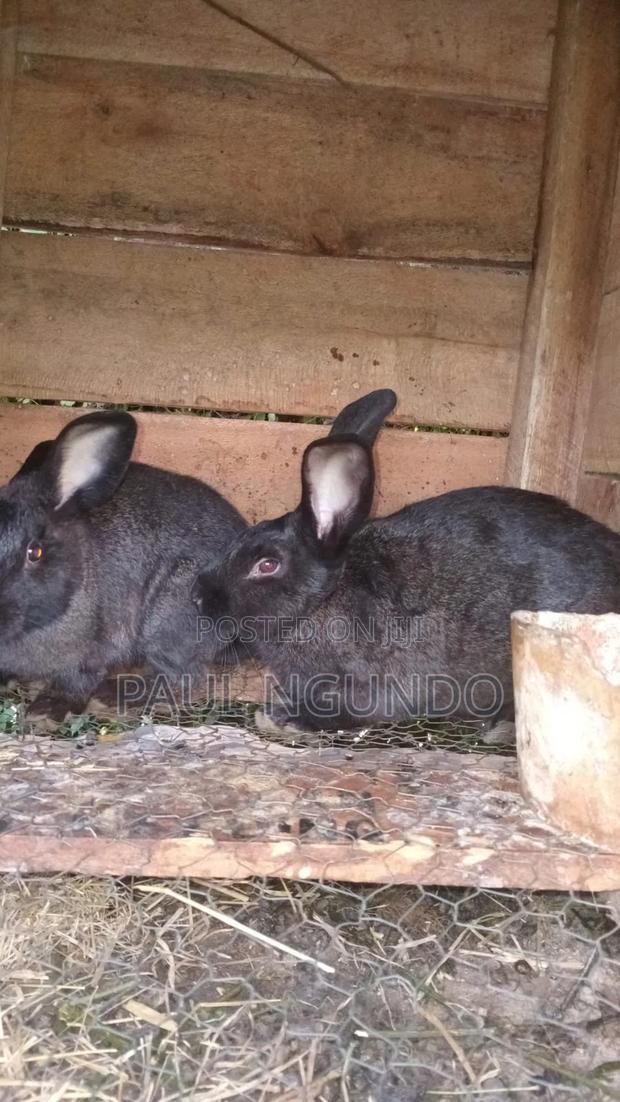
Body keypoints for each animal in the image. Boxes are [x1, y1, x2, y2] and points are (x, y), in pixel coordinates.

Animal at [0, 409, 246, 729]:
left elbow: (77, 679)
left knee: (181, 675)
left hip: (173, 614)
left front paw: (48, 711)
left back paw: (115, 696)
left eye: (35, 552)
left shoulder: (95, 649)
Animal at [193, 389, 620, 737]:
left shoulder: (378, 687)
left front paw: (282, 718)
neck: (323, 601)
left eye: (266, 565)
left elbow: (349, 711)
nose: (198, 597)